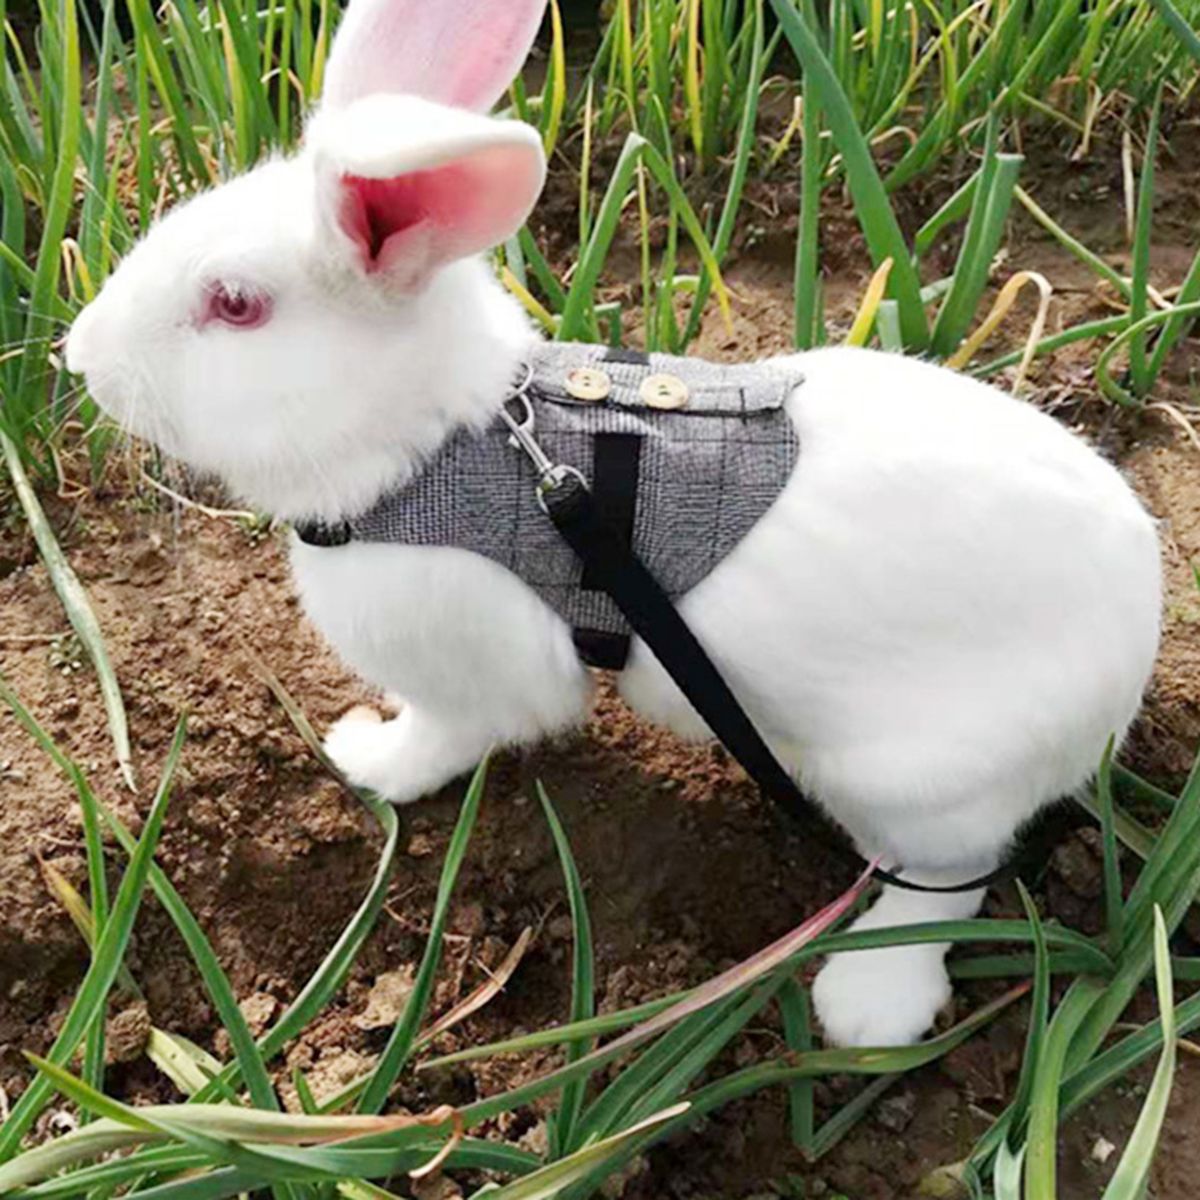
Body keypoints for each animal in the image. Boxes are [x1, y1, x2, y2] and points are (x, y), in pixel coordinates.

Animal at [65, 0, 1162, 1049]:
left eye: (236, 305)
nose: (80, 358)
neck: (441, 440)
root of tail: (1135, 646)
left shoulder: (471, 676)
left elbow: (445, 737)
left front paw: (368, 761)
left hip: (923, 784)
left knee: (942, 881)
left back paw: (867, 1006)